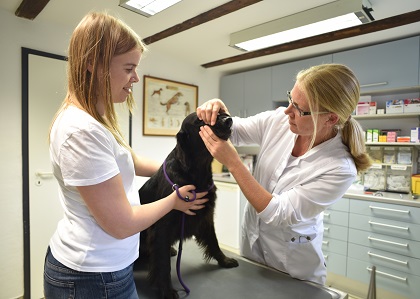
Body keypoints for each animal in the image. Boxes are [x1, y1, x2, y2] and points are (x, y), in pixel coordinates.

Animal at [137, 112, 238, 299]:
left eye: (218, 113)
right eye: (200, 121)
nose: (228, 120)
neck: (196, 172)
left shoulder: (206, 216)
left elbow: (214, 241)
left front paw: (224, 260)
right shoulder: (162, 228)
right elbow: (163, 263)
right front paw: (166, 290)